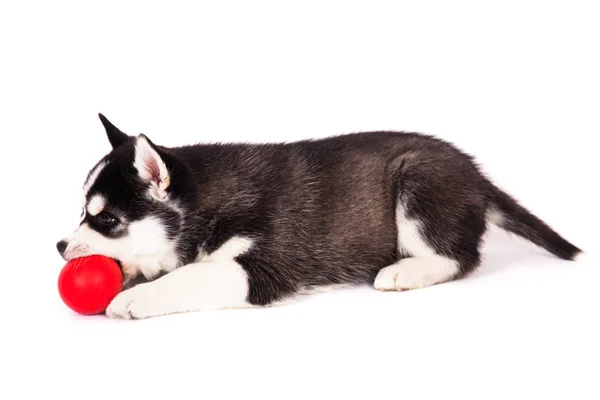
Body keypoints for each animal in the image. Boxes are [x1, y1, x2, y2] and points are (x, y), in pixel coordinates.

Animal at [55, 113, 580, 318]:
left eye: (106, 220)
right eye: (82, 211)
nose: (59, 246)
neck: (208, 200)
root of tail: (475, 173)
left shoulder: (268, 266)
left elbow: (194, 275)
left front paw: (136, 297)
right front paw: (136, 277)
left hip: (419, 181)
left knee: (460, 257)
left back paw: (406, 271)